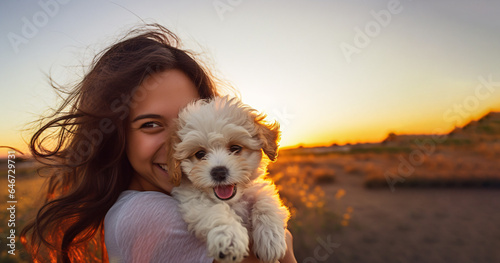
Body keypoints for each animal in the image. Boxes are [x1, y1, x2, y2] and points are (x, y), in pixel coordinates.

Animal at [168, 97, 292, 263]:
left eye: (235, 148)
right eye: (200, 154)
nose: (219, 172)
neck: (234, 201)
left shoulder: (258, 188)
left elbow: (266, 200)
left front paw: (270, 238)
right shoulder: (192, 199)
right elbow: (215, 210)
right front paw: (229, 239)